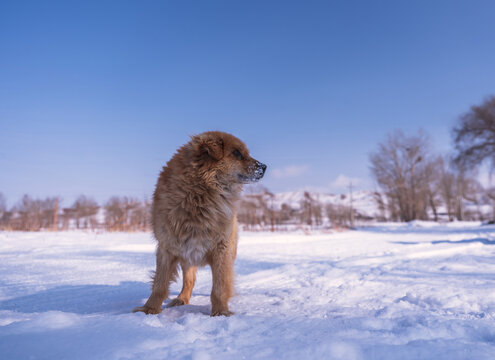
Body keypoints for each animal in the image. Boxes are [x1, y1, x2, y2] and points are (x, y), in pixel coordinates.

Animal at [130, 131, 266, 316]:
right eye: (237, 153)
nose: (264, 167)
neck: (198, 195)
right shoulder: (167, 247)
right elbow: (160, 284)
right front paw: (149, 309)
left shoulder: (221, 249)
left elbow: (220, 286)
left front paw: (220, 312)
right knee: (190, 280)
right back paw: (181, 299)